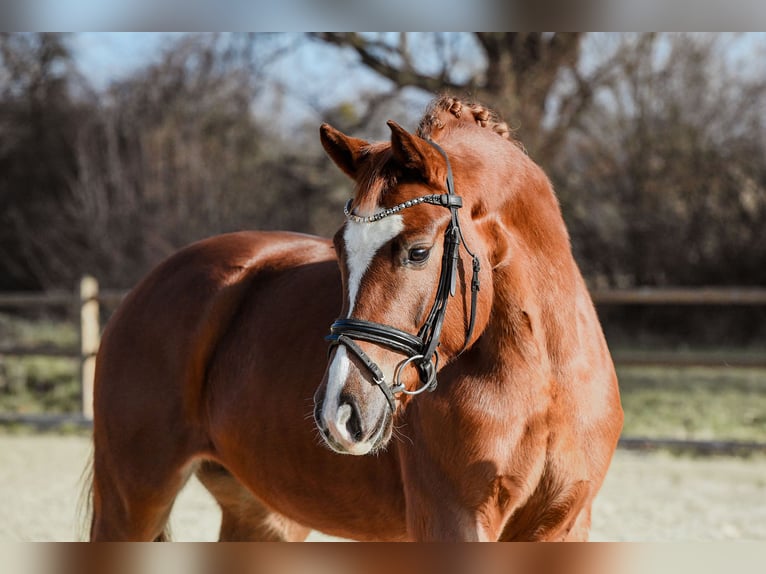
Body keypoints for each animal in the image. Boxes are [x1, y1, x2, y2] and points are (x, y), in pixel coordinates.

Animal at [86, 96, 623, 541]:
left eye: (418, 251)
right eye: (339, 251)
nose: (338, 414)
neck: (545, 379)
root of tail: (150, 284)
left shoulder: (564, 525)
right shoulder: (453, 521)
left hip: (261, 516)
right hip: (132, 500)